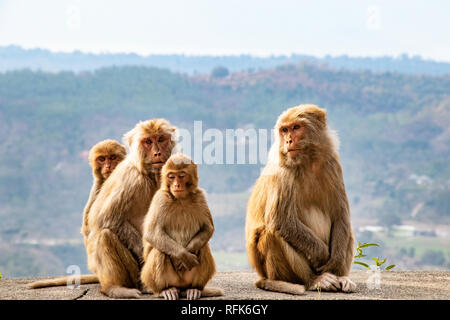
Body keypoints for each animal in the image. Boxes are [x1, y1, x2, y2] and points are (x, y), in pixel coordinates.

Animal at [141, 152, 223, 300]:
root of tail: (180, 287)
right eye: (171, 176)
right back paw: (166, 290)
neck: (181, 200)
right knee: (160, 251)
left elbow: (207, 228)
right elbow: (152, 233)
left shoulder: (200, 197)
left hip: (188, 280)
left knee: (202, 247)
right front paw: (182, 255)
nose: (177, 185)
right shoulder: (160, 199)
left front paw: (187, 253)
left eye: (181, 175)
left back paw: (194, 289)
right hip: (157, 279)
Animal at [244, 105, 356, 296]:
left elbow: (340, 216)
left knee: (346, 228)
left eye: (296, 127)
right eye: (284, 130)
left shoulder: (332, 164)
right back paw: (314, 280)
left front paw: (335, 262)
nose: (288, 141)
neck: (307, 161)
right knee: (271, 233)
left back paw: (340, 276)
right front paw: (321, 254)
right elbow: (281, 221)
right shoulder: (283, 172)